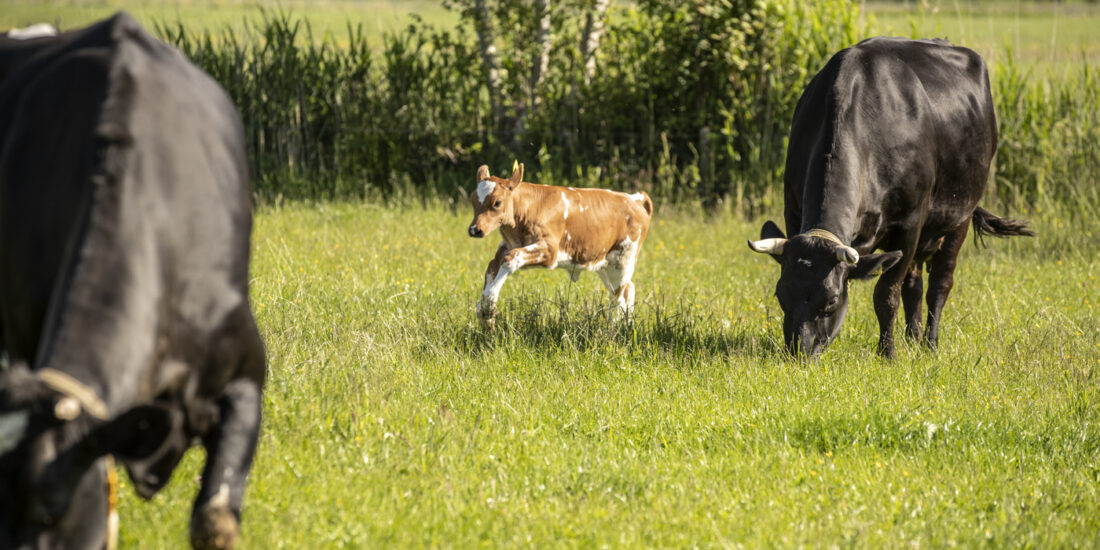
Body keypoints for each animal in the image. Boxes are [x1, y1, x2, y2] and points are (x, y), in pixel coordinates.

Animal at [467, 163, 653, 328]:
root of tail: (634, 198)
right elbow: (492, 266)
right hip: (605, 264)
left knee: (620, 298)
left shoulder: (550, 251)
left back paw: (612, 332)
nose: (475, 230)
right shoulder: (507, 245)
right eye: (473, 200)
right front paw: (484, 312)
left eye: (497, 202)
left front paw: (489, 304)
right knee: (627, 291)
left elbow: (511, 259)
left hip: (623, 261)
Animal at [748, 37, 1033, 359]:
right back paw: (913, 337)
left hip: (960, 215)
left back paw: (930, 344)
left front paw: (887, 353)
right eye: (780, 293)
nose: (798, 351)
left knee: (939, 283)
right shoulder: (793, 212)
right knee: (915, 284)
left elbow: (886, 294)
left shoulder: (909, 225)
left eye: (831, 301)